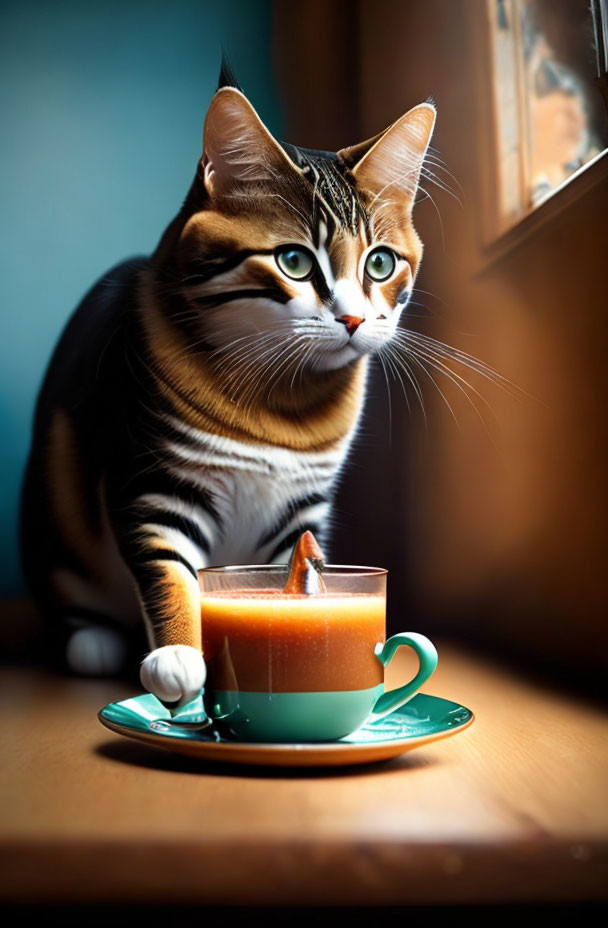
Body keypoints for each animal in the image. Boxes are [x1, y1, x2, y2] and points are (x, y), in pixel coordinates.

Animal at [20, 61, 436, 708]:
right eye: (295, 261)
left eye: (380, 264)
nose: (352, 319)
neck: (282, 400)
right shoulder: (153, 479)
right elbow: (171, 573)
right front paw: (179, 656)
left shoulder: (302, 505)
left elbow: (300, 571)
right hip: (52, 510)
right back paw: (92, 639)